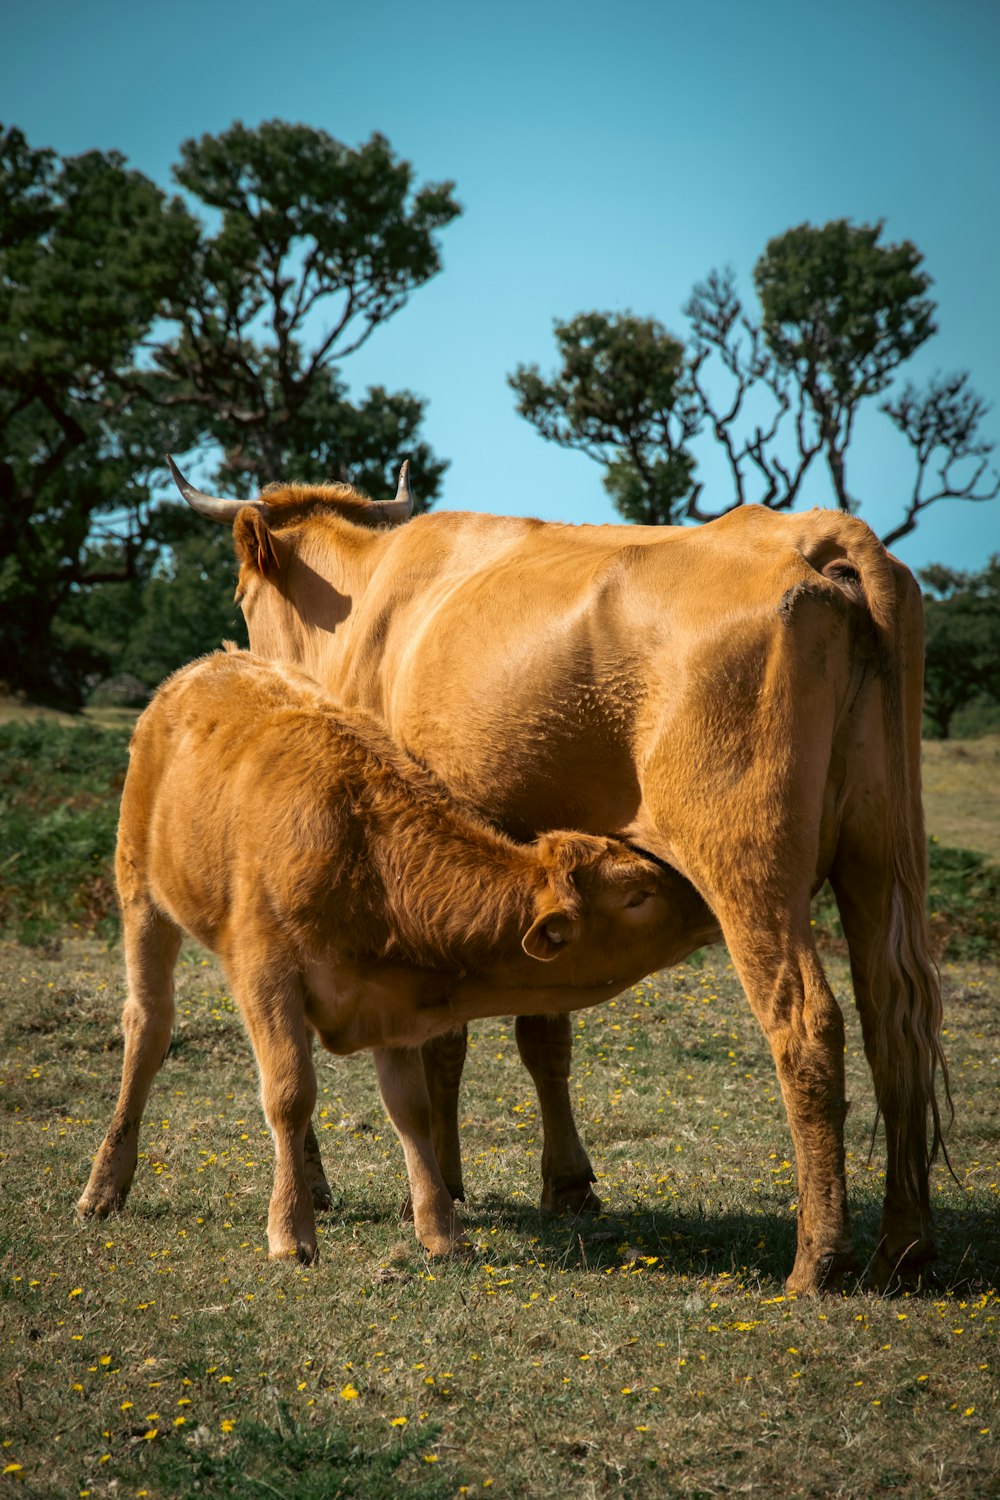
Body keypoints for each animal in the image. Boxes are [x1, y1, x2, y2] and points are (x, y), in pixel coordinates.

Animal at [80, 651, 710, 1260]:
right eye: (637, 896)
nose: (704, 902)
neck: (366, 852)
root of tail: (207, 667)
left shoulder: (389, 996)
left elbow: (411, 1108)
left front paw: (440, 1229)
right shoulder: (265, 973)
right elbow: (288, 1093)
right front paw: (290, 1232)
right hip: (141, 894)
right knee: (149, 1025)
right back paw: (104, 1185)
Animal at [167, 456, 953, 1290]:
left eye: (240, 594)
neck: (370, 604)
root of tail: (815, 535)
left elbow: (448, 1038)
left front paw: (440, 1182)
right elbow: (543, 1032)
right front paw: (565, 1183)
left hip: (747, 865)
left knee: (806, 1023)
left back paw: (817, 1258)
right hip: (880, 855)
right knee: (894, 1022)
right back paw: (904, 1246)